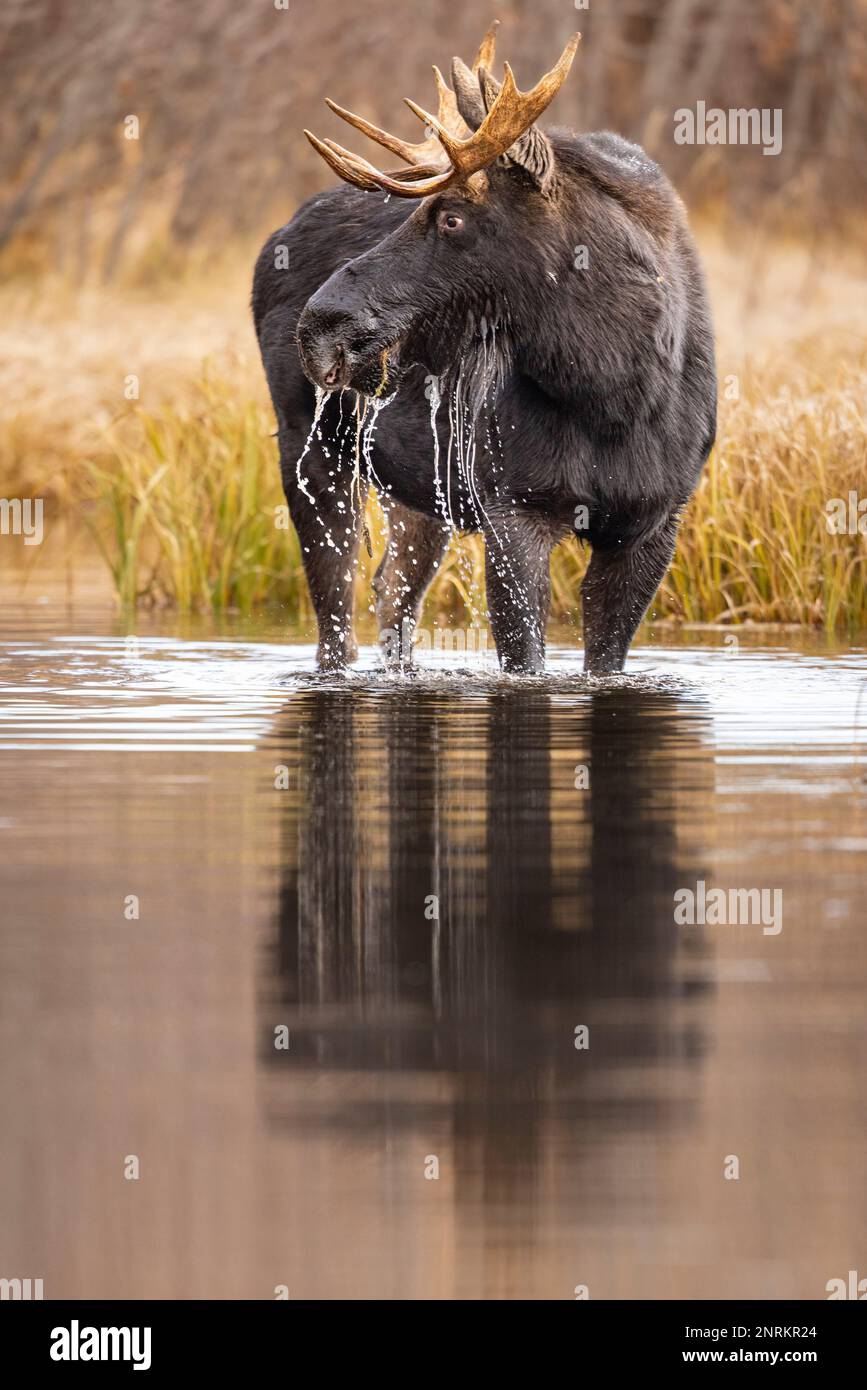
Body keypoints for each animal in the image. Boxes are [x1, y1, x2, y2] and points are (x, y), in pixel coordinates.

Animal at [252, 22, 716, 674]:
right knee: (335, 622)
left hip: (417, 487)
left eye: (451, 217)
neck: (619, 393)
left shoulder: (654, 521)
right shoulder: (513, 505)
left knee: (391, 591)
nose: (319, 324)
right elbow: (524, 658)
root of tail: (271, 243)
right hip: (311, 445)